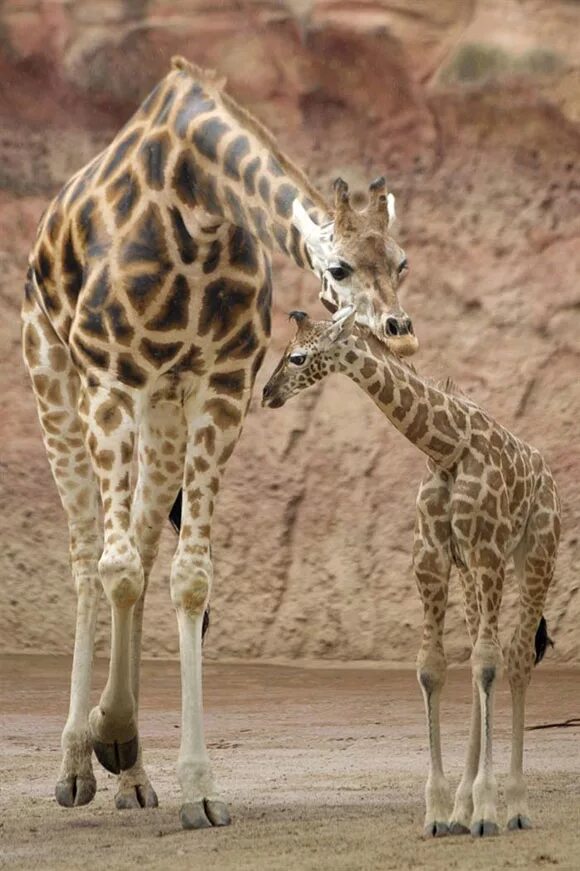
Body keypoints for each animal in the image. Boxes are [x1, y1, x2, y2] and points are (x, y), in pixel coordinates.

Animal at [20, 56, 416, 832]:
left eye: (403, 262)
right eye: (341, 268)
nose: (399, 328)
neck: (198, 204)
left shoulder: (222, 386)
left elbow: (188, 576)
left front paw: (188, 781)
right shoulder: (109, 377)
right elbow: (112, 567)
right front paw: (109, 738)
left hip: (162, 408)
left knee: (141, 549)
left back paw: (132, 777)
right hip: (53, 370)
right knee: (87, 556)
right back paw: (76, 765)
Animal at [264, 310, 560, 840]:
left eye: (297, 357)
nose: (268, 393)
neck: (446, 446)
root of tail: (545, 471)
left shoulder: (486, 552)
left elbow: (488, 664)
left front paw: (487, 809)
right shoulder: (433, 558)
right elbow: (433, 668)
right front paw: (440, 812)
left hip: (535, 555)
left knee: (516, 657)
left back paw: (516, 807)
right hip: (471, 577)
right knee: (482, 660)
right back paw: (464, 808)